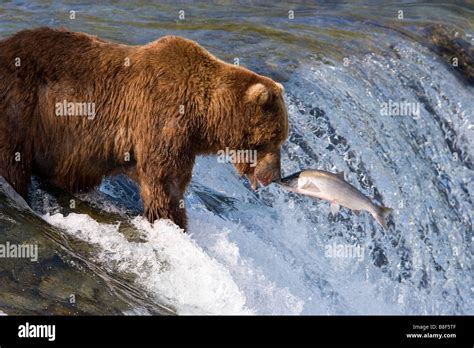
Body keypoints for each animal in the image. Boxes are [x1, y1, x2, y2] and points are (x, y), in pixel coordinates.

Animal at [0, 27, 286, 228]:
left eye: (281, 138)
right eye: (274, 139)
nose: (274, 176)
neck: (204, 117)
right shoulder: (163, 118)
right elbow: (164, 181)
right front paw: (172, 221)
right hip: (22, 107)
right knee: (12, 161)